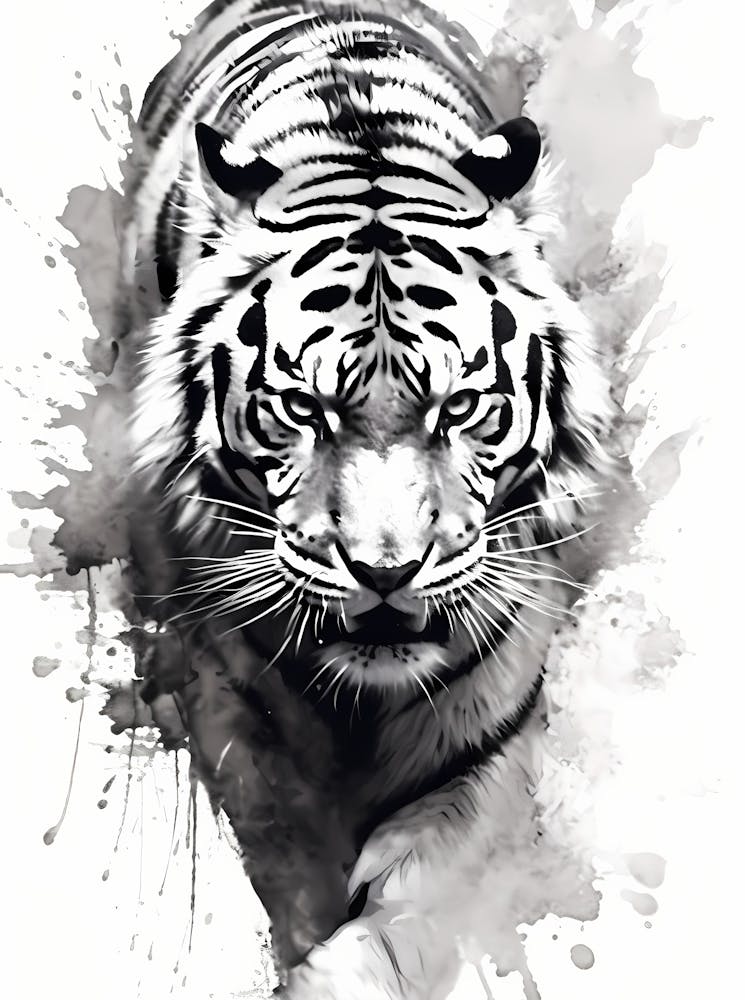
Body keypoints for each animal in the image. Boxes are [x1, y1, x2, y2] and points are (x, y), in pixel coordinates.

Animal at [123, 0, 611, 996]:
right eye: (302, 409)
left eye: (457, 406)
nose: (384, 573)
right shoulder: (232, 710)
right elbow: (292, 865)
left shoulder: (485, 742)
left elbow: (406, 916)